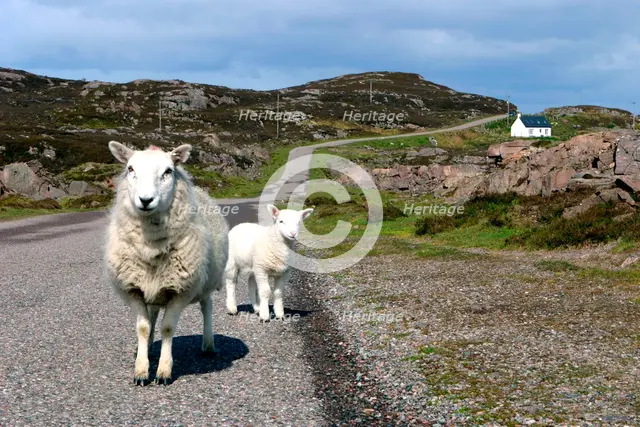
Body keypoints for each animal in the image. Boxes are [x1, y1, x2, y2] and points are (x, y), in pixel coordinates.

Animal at [104, 141, 229, 385]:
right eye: (130, 169)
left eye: (168, 171)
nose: (145, 200)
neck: (151, 245)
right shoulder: (134, 288)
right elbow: (143, 328)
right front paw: (141, 370)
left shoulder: (180, 290)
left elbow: (168, 328)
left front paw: (163, 371)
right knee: (152, 314)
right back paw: (150, 348)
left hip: (205, 282)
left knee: (206, 307)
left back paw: (208, 344)